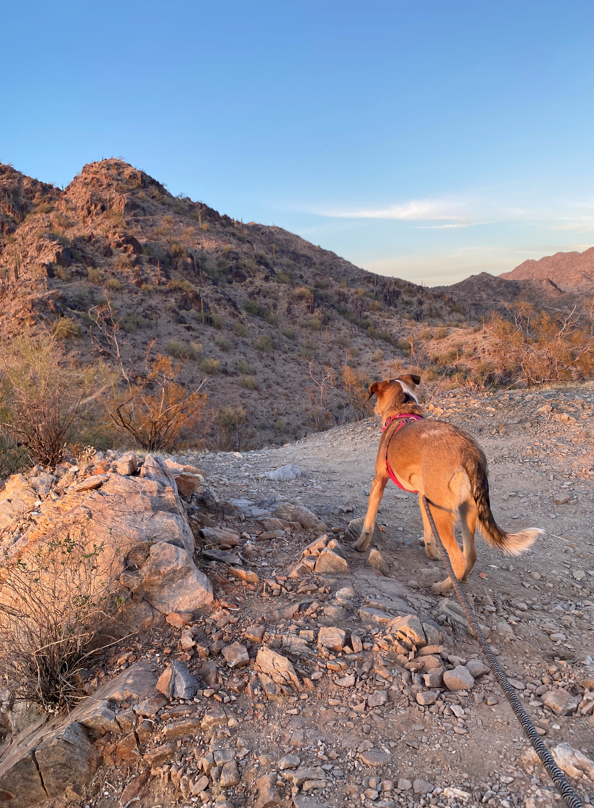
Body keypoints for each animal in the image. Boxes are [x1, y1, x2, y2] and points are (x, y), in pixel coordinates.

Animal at [352, 378, 540, 592]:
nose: (374, 409)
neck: (403, 412)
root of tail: (469, 451)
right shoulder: (424, 497)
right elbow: (428, 532)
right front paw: (431, 551)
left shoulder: (379, 481)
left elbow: (369, 521)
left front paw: (360, 544)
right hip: (467, 509)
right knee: (471, 555)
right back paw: (459, 580)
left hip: (441, 512)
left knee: (459, 559)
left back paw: (442, 587)